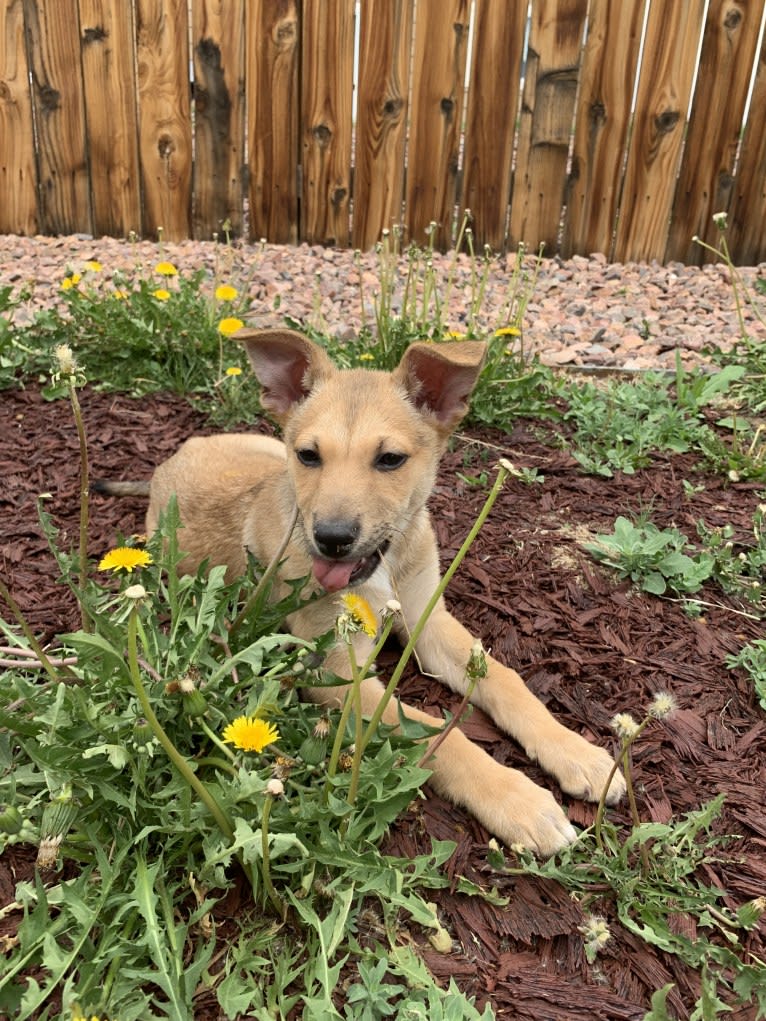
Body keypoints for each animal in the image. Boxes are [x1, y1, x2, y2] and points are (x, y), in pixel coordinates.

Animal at [140, 328, 625, 853]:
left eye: (390, 459)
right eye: (309, 456)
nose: (331, 539)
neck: (385, 568)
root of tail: (172, 459)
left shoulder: (427, 619)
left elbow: (506, 680)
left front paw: (580, 754)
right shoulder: (334, 673)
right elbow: (437, 734)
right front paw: (517, 800)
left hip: (267, 447)